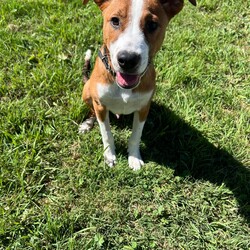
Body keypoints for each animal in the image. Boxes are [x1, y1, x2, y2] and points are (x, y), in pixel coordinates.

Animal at [79, 0, 196, 170]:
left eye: (152, 24)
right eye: (115, 20)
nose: (128, 60)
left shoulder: (142, 108)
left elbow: (136, 134)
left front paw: (134, 157)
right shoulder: (100, 105)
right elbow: (106, 132)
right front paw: (109, 155)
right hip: (87, 92)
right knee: (92, 111)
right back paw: (87, 124)